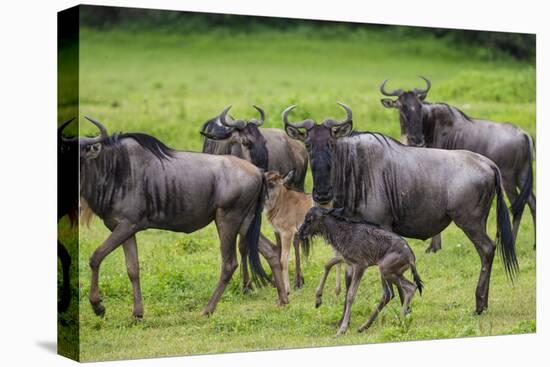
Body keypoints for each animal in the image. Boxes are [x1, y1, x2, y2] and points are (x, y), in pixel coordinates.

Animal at [300, 207, 424, 336]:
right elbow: (328, 264)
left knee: (408, 288)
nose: (300, 233)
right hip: (391, 272)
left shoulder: (360, 265)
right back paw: (365, 326)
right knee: (393, 292)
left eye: (309, 219)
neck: (342, 231)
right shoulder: (347, 259)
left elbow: (351, 294)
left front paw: (342, 329)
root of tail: (411, 257)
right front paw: (318, 299)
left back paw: (400, 321)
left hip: (385, 270)